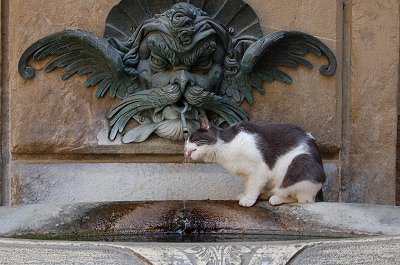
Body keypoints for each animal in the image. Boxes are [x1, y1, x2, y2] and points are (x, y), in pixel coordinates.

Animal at [186, 115, 326, 206]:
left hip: (301, 161)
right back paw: (265, 195)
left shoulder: (259, 170)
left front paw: (248, 199)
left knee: (301, 198)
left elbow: (253, 186)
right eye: (185, 142)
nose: (185, 149)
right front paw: (245, 194)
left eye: (192, 138)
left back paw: (276, 198)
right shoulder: (246, 173)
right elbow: (248, 185)